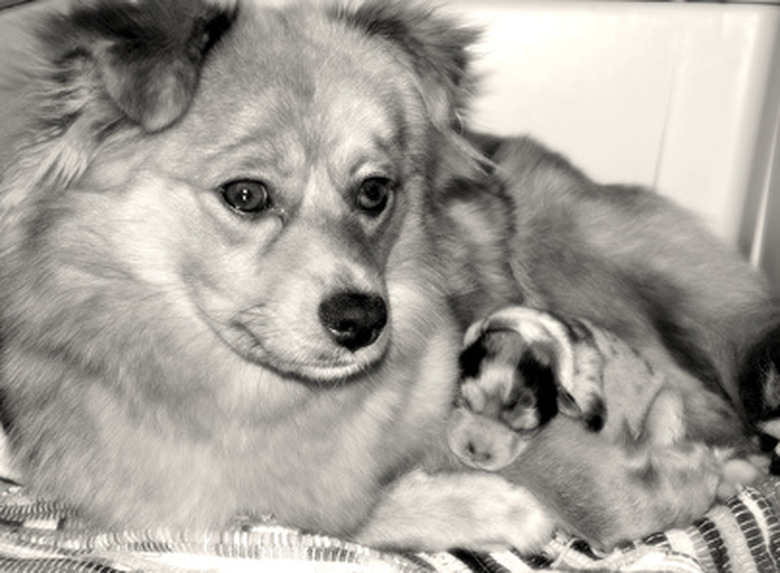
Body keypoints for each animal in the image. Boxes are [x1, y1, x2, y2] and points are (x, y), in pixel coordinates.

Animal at [1, 0, 780, 556]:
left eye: (375, 192)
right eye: (246, 194)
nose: (364, 321)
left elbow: (582, 484)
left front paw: (686, 478)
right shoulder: (200, 497)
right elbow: (334, 513)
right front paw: (483, 507)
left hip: (575, 266)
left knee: (712, 404)